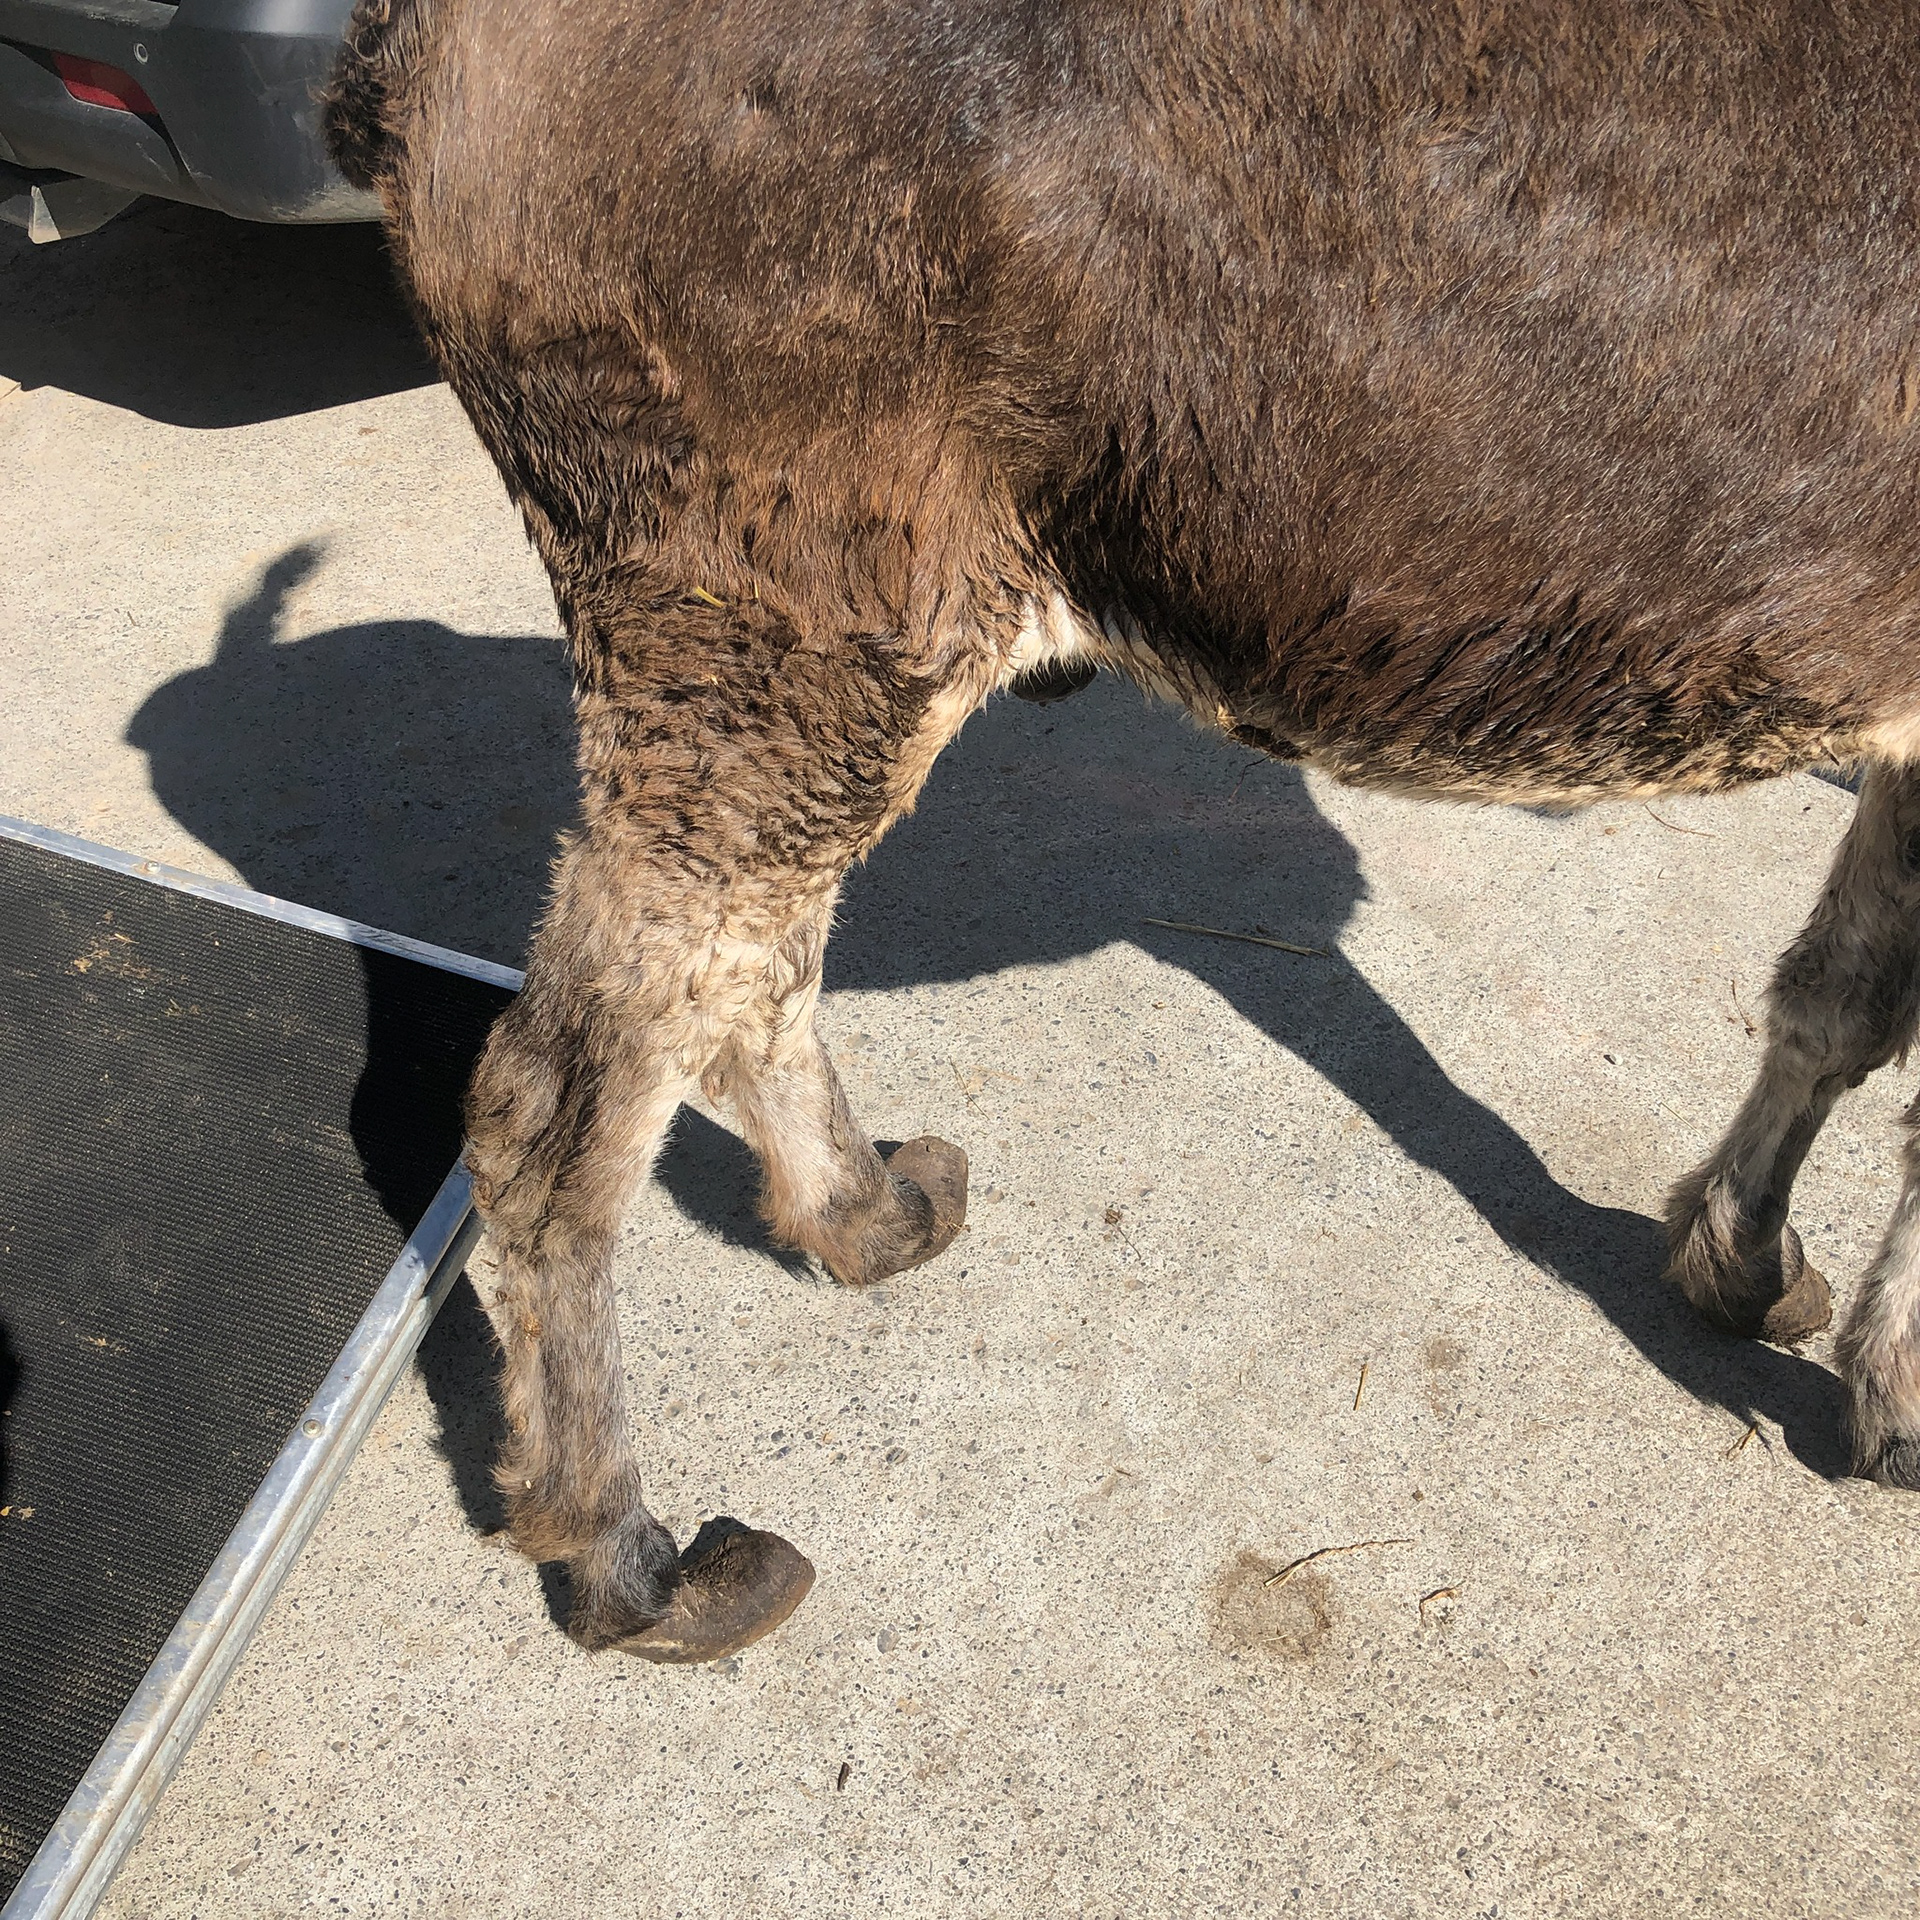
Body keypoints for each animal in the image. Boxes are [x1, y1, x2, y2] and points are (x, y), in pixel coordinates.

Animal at [326, 0, 1920, 1661]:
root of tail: (409, 44)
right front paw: (1890, 1404)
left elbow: (1843, 998)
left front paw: (1742, 1260)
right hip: (770, 622)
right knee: (555, 1096)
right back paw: (622, 1552)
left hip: (804, 648)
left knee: (741, 983)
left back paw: (865, 1216)